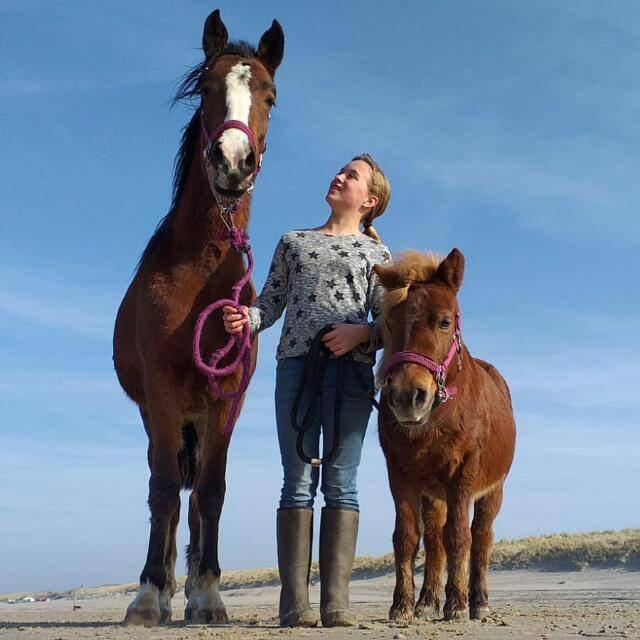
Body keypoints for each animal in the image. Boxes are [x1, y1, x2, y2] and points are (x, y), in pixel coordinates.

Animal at [112, 10, 284, 628]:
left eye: (270, 95)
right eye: (208, 90)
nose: (233, 161)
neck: (202, 264)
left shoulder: (226, 399)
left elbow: (211, 492)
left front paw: (207, 595)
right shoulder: (163, 394)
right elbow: (165, 489)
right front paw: (148, 596)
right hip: (158, 415)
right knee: (160, 489)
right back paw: (159, 590)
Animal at [372, 248, 516, 624]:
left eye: (444, 322)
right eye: (389, 323)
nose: (407, 396)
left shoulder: (464, 473)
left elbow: (459, 537)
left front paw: (458, 603)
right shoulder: (400, 474)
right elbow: (407, 538)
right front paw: (403, 606)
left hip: (491, 491)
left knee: (480, 537)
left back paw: (478, 600)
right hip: (433, 494)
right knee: (435, 538)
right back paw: (427, 601)